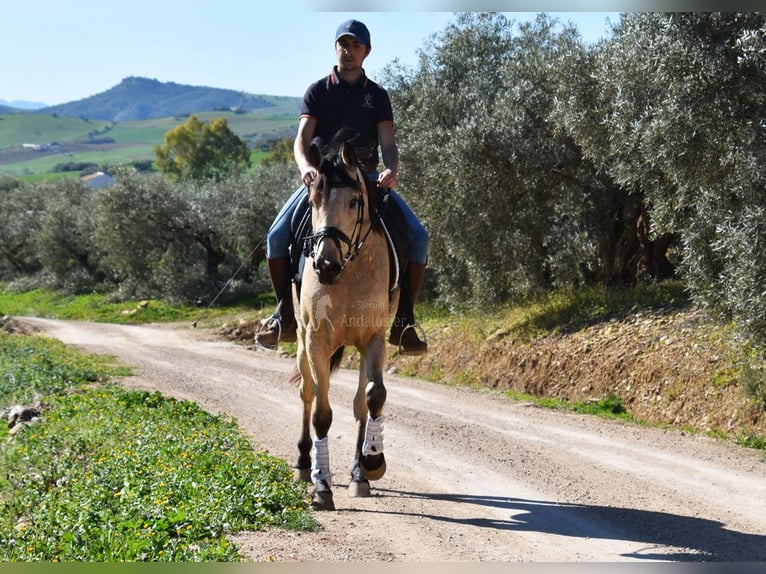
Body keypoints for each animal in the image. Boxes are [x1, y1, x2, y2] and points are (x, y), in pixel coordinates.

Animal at [292, 135, 402, 512]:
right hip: (300, 340)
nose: (325, 264)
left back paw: (358, 474)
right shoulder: (317, 341)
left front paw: (372, 463)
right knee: (307, 393)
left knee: (358, 402)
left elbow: (373, 397)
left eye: (355, 201)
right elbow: (321, 413)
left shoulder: (373, 338)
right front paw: (321, 486)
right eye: (313, 200)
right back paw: (303, 464)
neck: (348, 273)